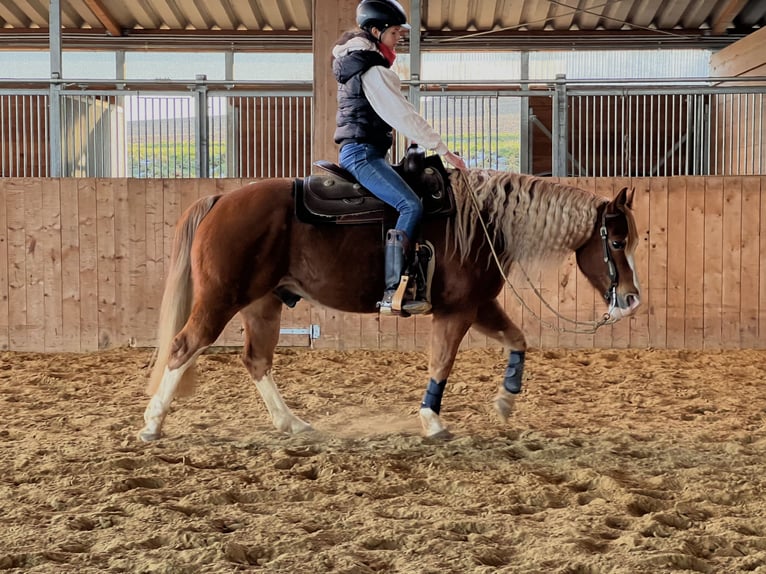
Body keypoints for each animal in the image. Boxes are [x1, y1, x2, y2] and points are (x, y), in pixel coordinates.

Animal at [138, 169, 640, 444]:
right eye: (616, 242)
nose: (632, 300)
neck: (482, 221)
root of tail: (221, 198)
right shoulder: (457, 311)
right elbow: (442, 362)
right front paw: (432, 420)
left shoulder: (477, 305)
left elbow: (518, 340)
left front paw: (504, 400)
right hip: (221, 299)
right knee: (184, 347)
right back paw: (152, 423)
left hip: (263, 304)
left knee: (256, 360)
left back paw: (293, 423)